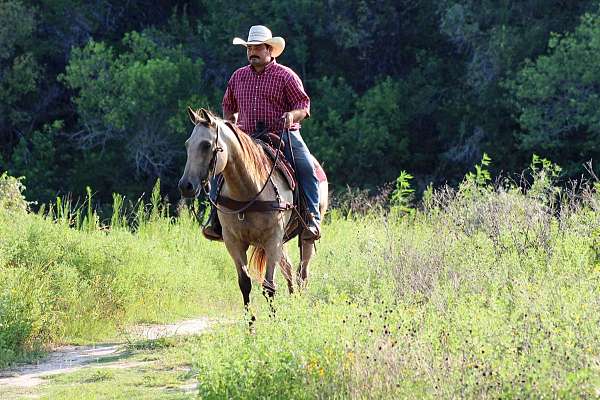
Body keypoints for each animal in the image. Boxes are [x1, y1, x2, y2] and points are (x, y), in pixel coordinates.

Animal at [178, 108, 328, 314]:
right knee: (289, 271)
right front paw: (250, 322)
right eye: (187, 144)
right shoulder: (234, 242)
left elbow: (269, 287)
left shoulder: (272, 240)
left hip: (304, 238)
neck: (249, 191)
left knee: (302, 274)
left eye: (206, 145)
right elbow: (245, 284)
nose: (186, 186)